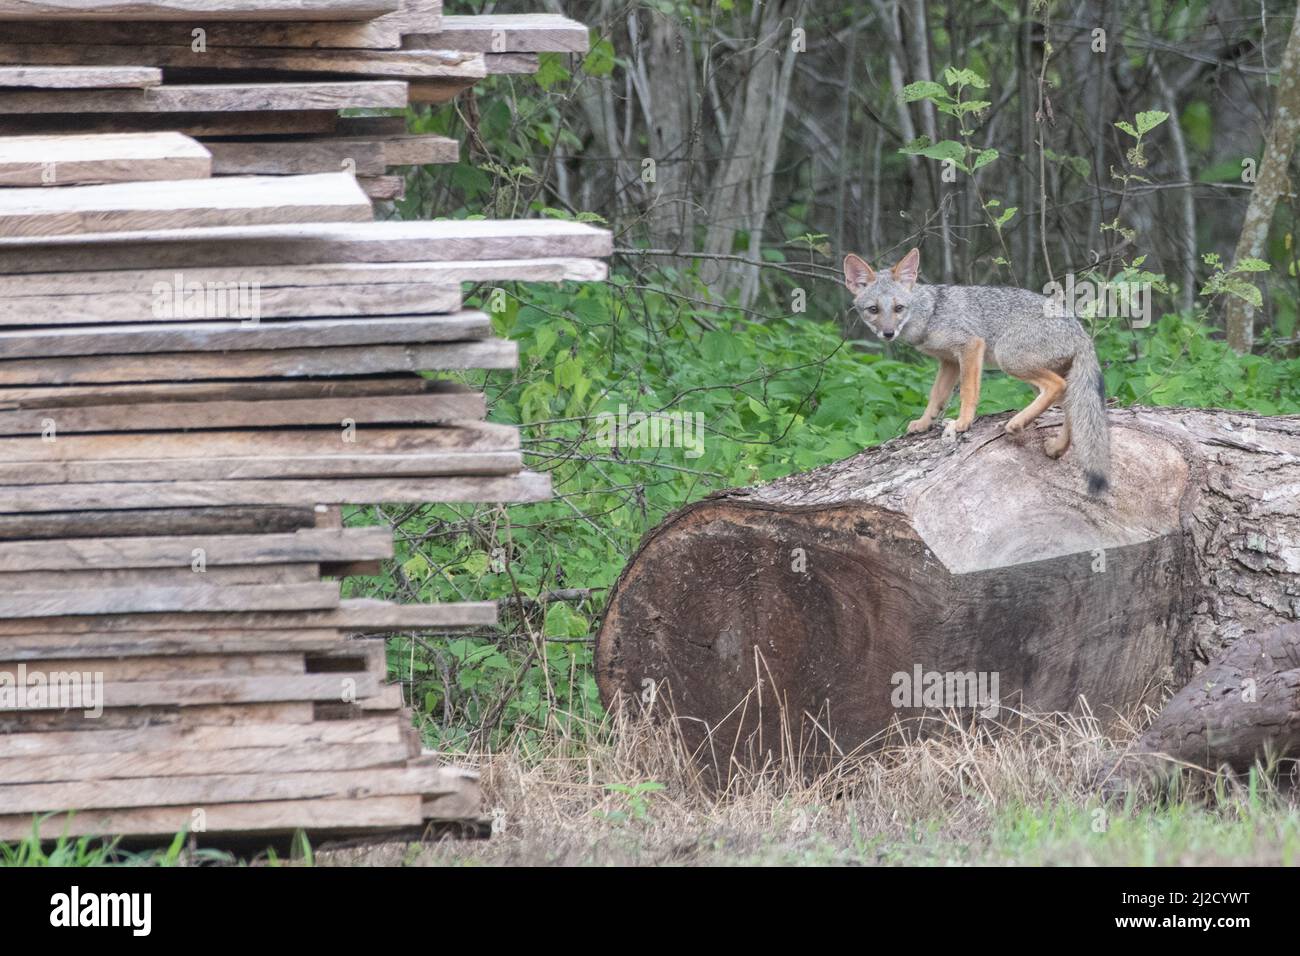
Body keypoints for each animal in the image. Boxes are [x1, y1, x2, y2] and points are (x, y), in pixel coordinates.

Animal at [843, 248, 1111, 495]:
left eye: (899, 308)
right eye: (873, 310)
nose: (888, 333)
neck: (930, 313)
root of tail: (1081, 331)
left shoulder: (970, 347)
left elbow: (968, 391)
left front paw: (963, 422)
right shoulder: (948, 361)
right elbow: (936, 397)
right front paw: (925, 422)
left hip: (1008, 358)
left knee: (1057, 387)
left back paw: (1016, 423)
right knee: (1068, 405)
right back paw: (1056, 447)